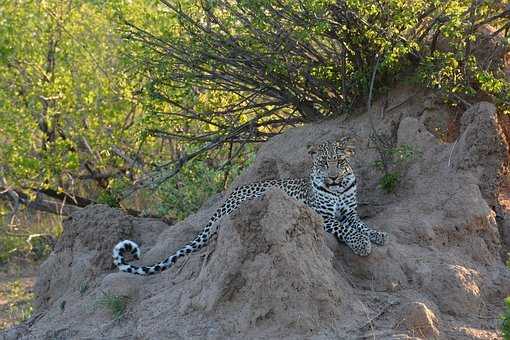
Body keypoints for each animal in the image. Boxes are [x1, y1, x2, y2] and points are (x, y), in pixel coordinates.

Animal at [111, 139, 386, 274]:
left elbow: (360, 224)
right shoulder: (320, 215)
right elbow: (345, 229)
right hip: (257, 196)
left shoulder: (350, 211)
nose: (333, 177)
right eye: (323, 163)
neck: (338, 190)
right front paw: (362, 244)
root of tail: (226, 199)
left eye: (339, 161)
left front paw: (377, 235)